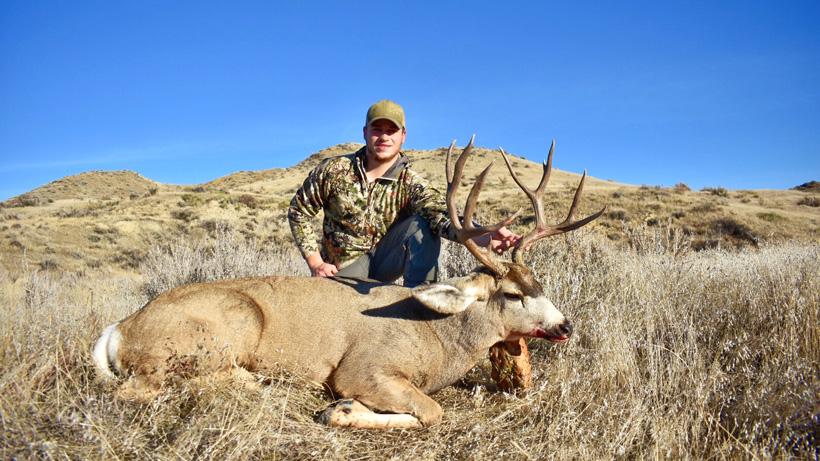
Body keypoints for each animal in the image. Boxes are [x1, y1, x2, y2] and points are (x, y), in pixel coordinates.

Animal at [92, 137, 604, 429]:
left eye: (541, 283)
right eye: (513, 294)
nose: (565, 326)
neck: (436, 337)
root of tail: (119, 330)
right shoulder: (362, 369)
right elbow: (431, 412)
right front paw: (340, 410)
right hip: (226, 325)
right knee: (140, 389)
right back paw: (263, 384)